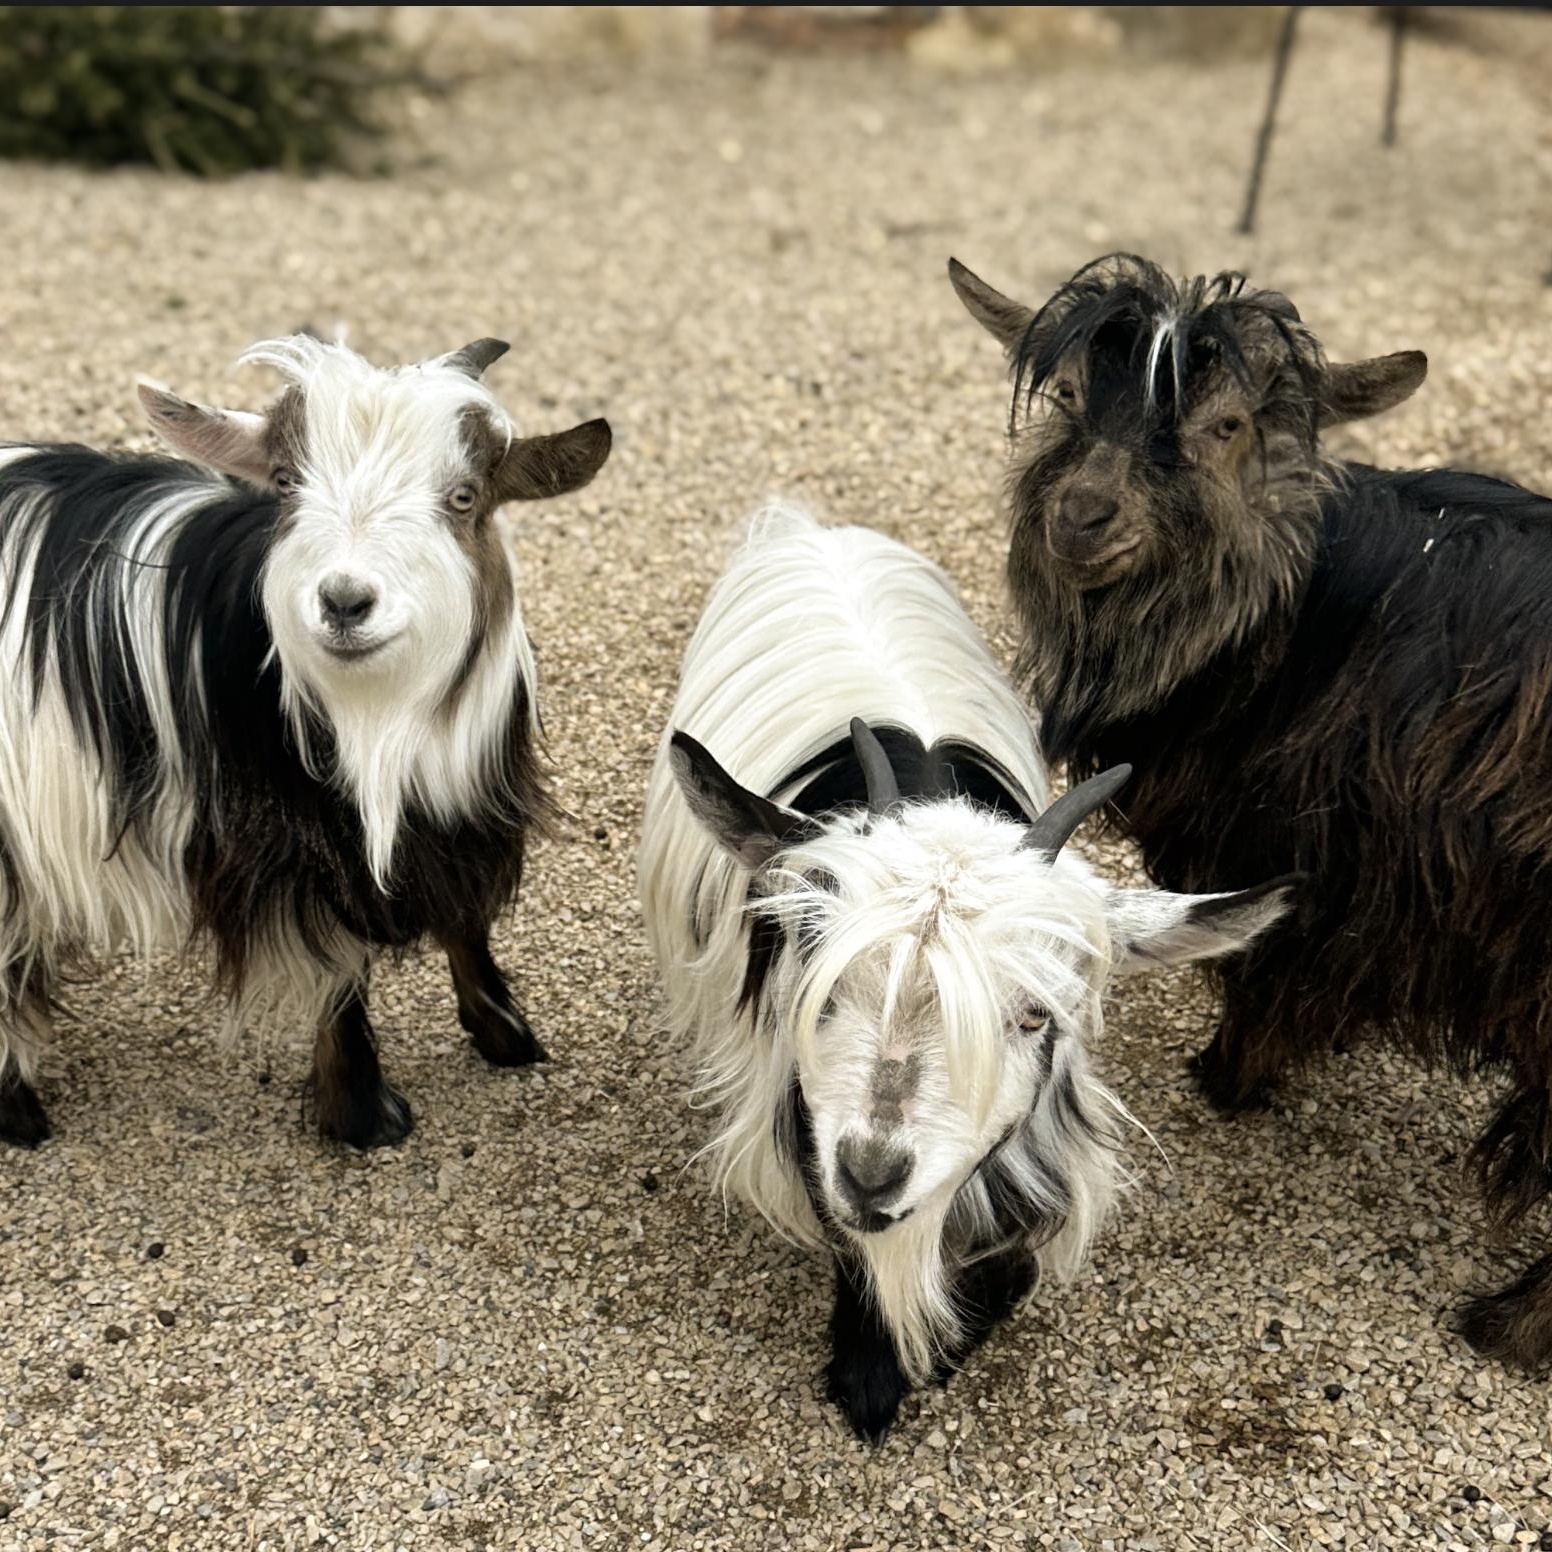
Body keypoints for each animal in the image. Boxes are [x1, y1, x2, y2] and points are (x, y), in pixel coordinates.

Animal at [0, 334, 610, 1150]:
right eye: (287, 484)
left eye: (463, 498)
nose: (345, 601)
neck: (377, 722)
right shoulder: (292, 842)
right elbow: (337, 968)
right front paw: (363, 1114)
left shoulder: (458, 808)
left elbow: (464, 919)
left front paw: (507, 1036)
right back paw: (17, 1113)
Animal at [638, 502, 1288, 1441]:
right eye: (825, 977)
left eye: (1033, 1015)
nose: (873, 1171)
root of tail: (806, 526)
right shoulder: (800, 1111)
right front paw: (869, 1372)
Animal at [951, 249, 1552, 1367]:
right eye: (1068, 397)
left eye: (1226, 424)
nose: (1083, 516)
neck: (1287, 614)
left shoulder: (1312, 854)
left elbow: (1270, 971)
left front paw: (1225, 1077)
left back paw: (1507, 1326)